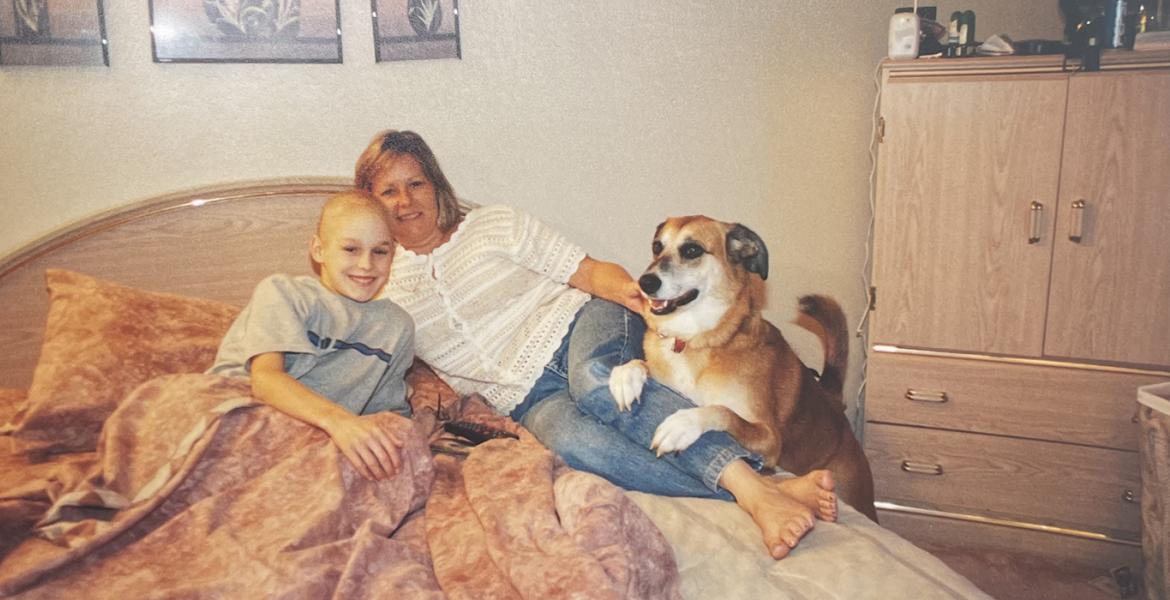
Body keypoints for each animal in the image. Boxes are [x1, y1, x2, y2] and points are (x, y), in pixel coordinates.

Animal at [608, 215, 875, 519]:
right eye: (657, 246)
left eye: (692, 250)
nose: (645, 282)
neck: (696, 340)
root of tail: (834, 402)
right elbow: (637, 364)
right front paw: (625, 376)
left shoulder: (769, 440)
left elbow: (721, 410)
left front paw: (682, 424)